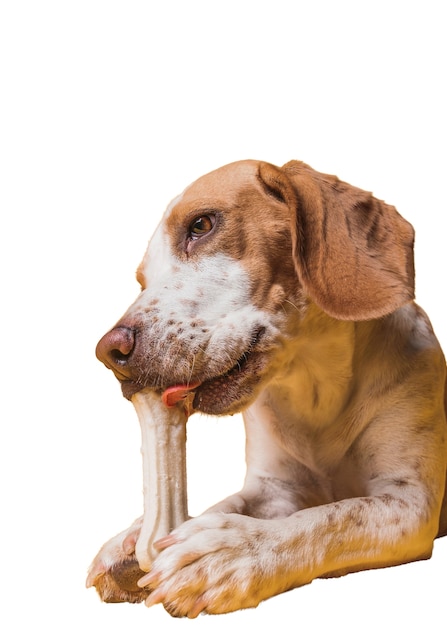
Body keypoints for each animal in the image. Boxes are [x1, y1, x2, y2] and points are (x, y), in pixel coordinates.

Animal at [86, 160, 447, 616]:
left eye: (201, 225)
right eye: (142, 279)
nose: (108, 352)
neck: (316, 386)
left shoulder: (410, 504)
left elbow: (332, 517)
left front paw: (229, 552)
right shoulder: (272, 489)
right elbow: (226, 505)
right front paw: (135, 543)